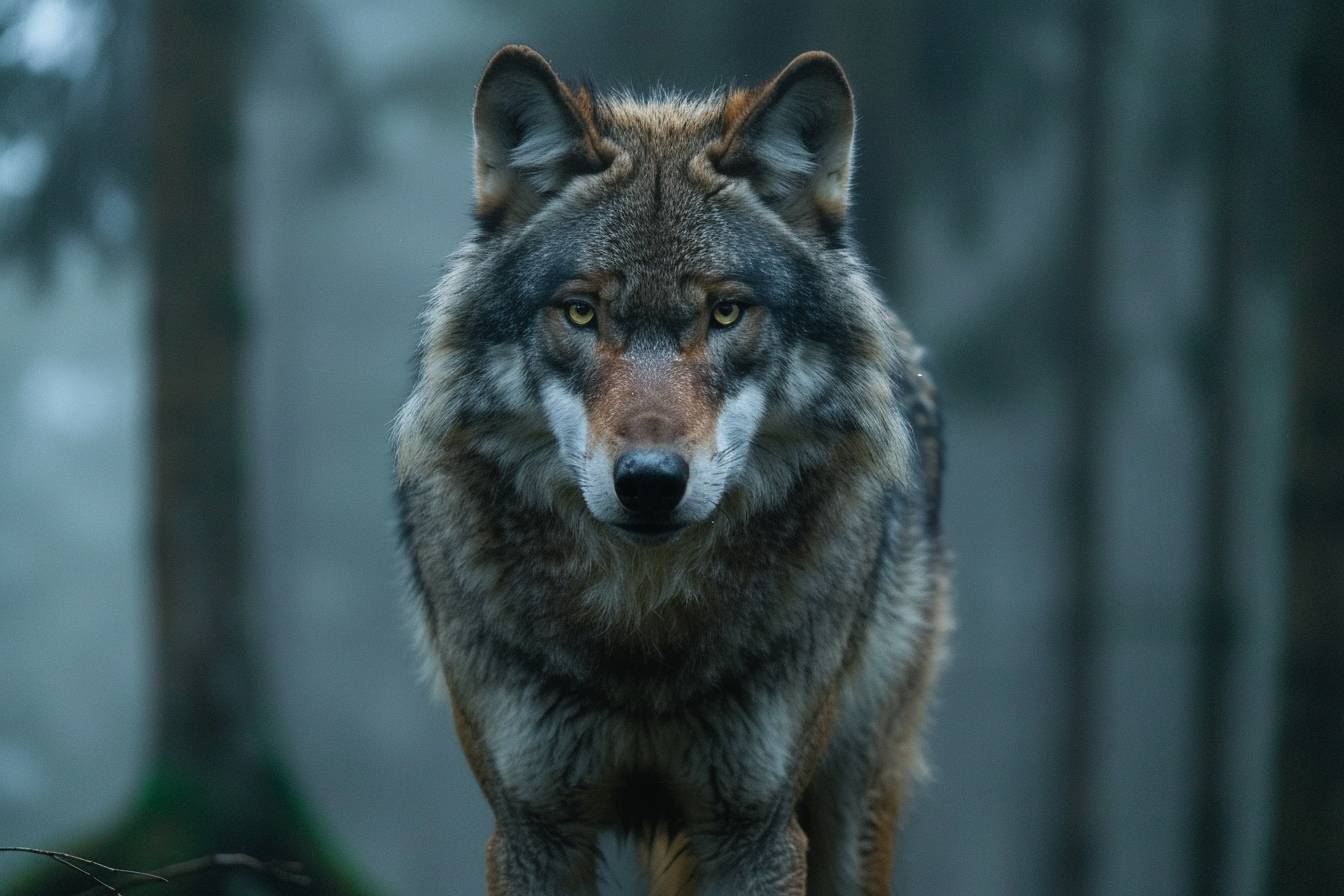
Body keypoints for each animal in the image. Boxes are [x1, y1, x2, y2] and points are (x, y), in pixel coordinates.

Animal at [394, 45, 950, 895]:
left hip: (853, 801)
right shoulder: (532, 827)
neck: (643, 631)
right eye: (581, 312)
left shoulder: (755, 831)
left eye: (725, 312)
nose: (651, 481)